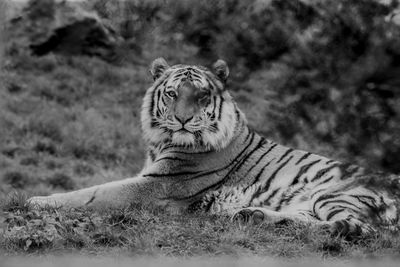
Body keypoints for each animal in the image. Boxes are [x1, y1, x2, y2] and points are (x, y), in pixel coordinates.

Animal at [28, 57, 400, 238]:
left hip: (336, 193)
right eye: (172, 94)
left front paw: (35, 200)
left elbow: (90, 194)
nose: (182, 120)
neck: (162, 142)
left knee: (358, 229)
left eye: (202, 95)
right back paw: (253, 216)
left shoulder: (155, 186)